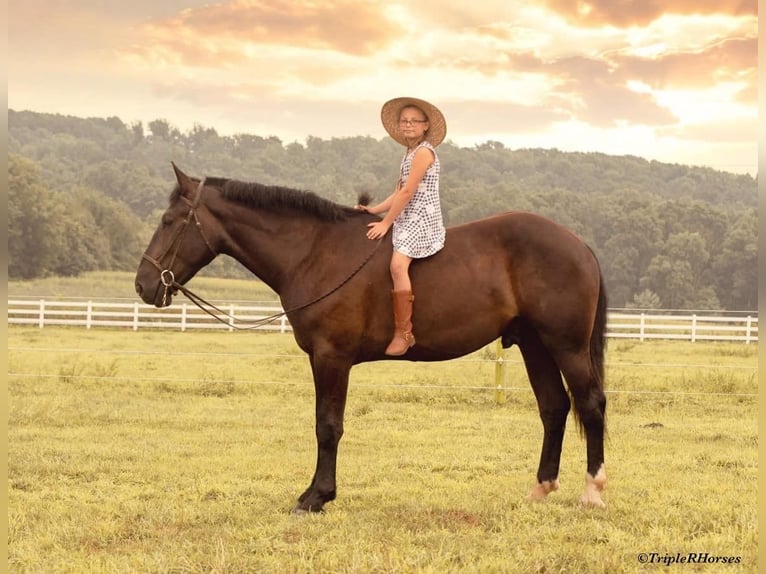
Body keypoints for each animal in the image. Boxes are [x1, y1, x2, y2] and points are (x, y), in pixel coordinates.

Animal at [134, 165, 612, 512]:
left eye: (169, 221)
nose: (143, 284)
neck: (315, 251)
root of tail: (579, 245)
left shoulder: (331, 358)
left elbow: (327, 426)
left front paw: (316, 497)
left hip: (565, 346)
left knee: (590, 405)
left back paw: (592, 492)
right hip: (535, 345)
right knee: (554, 408)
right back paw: (541, 488)